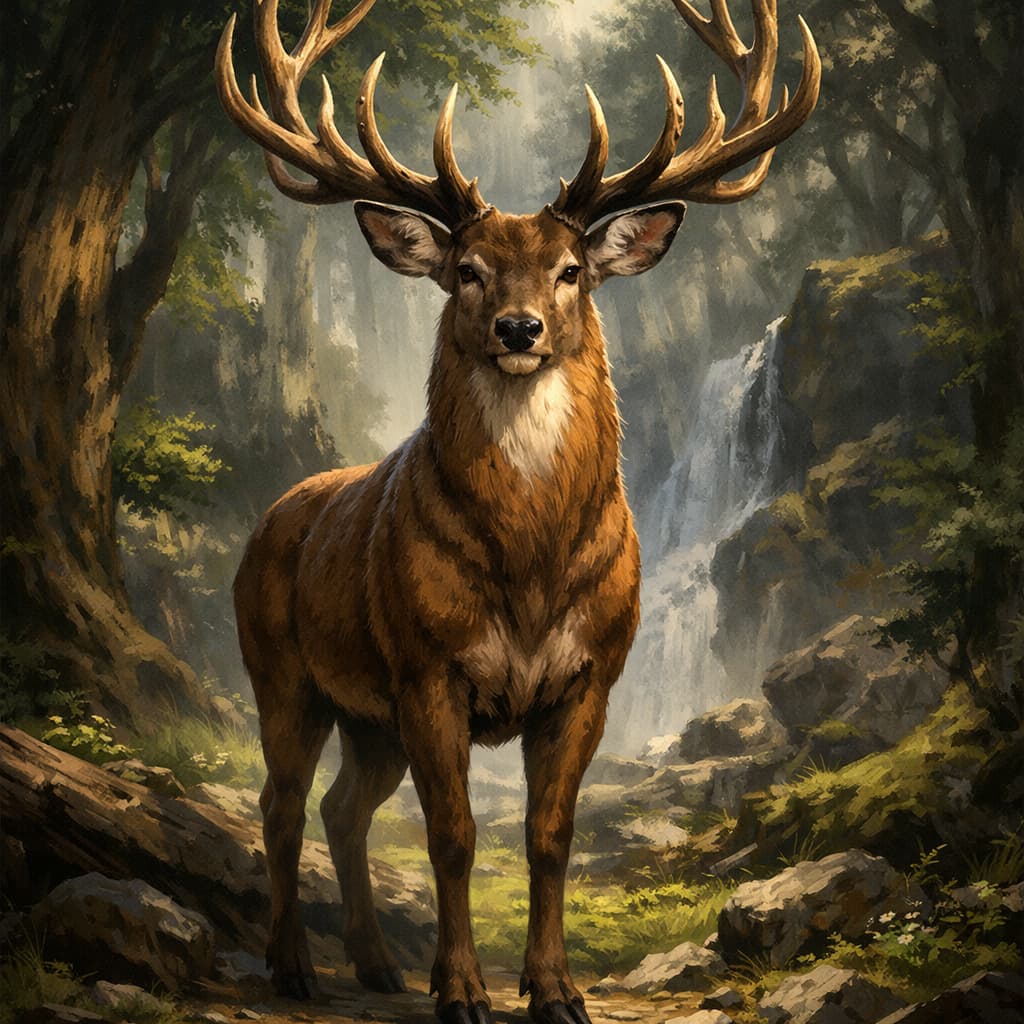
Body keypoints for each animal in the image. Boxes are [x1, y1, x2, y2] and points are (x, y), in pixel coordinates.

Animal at [216, 1, 818, 1021]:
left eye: (572, 268)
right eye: (467, 268)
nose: (519, 328)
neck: (531, 565)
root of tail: (270, 520)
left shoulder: (591, 675)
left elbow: (550, 836)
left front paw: (555, 990)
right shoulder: (427, 667)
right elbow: (454, 836)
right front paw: (461, 990)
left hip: (367, 716)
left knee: (343, 807)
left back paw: (374, 964)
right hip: (281, 669)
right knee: (282, 804)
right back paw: (294, 966)